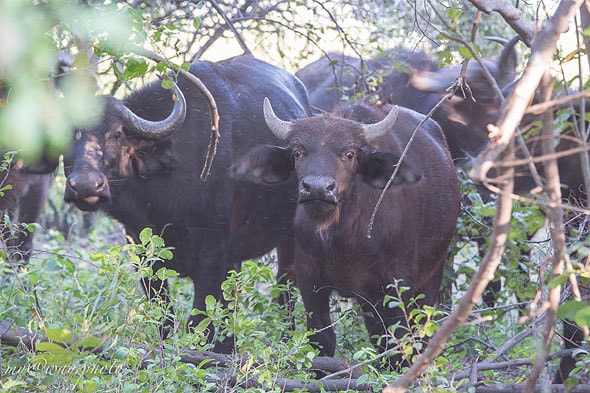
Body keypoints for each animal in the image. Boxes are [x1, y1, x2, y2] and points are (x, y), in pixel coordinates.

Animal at [64, 53, 312, 350]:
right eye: (68, 135)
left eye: (116, 134)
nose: (86, 185)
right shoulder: (142, 250)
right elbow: (163, 316)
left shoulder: (212, 253)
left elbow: (199, 322)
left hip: (288, 239)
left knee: (285, 289)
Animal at [234, 99, 464, 368]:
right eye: (297, 152)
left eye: (350, 154)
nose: (318, 188)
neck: (341, 238)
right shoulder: (309, 278)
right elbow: (322, 340)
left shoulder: (398, 282)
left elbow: (399, 341)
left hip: (432, 275)